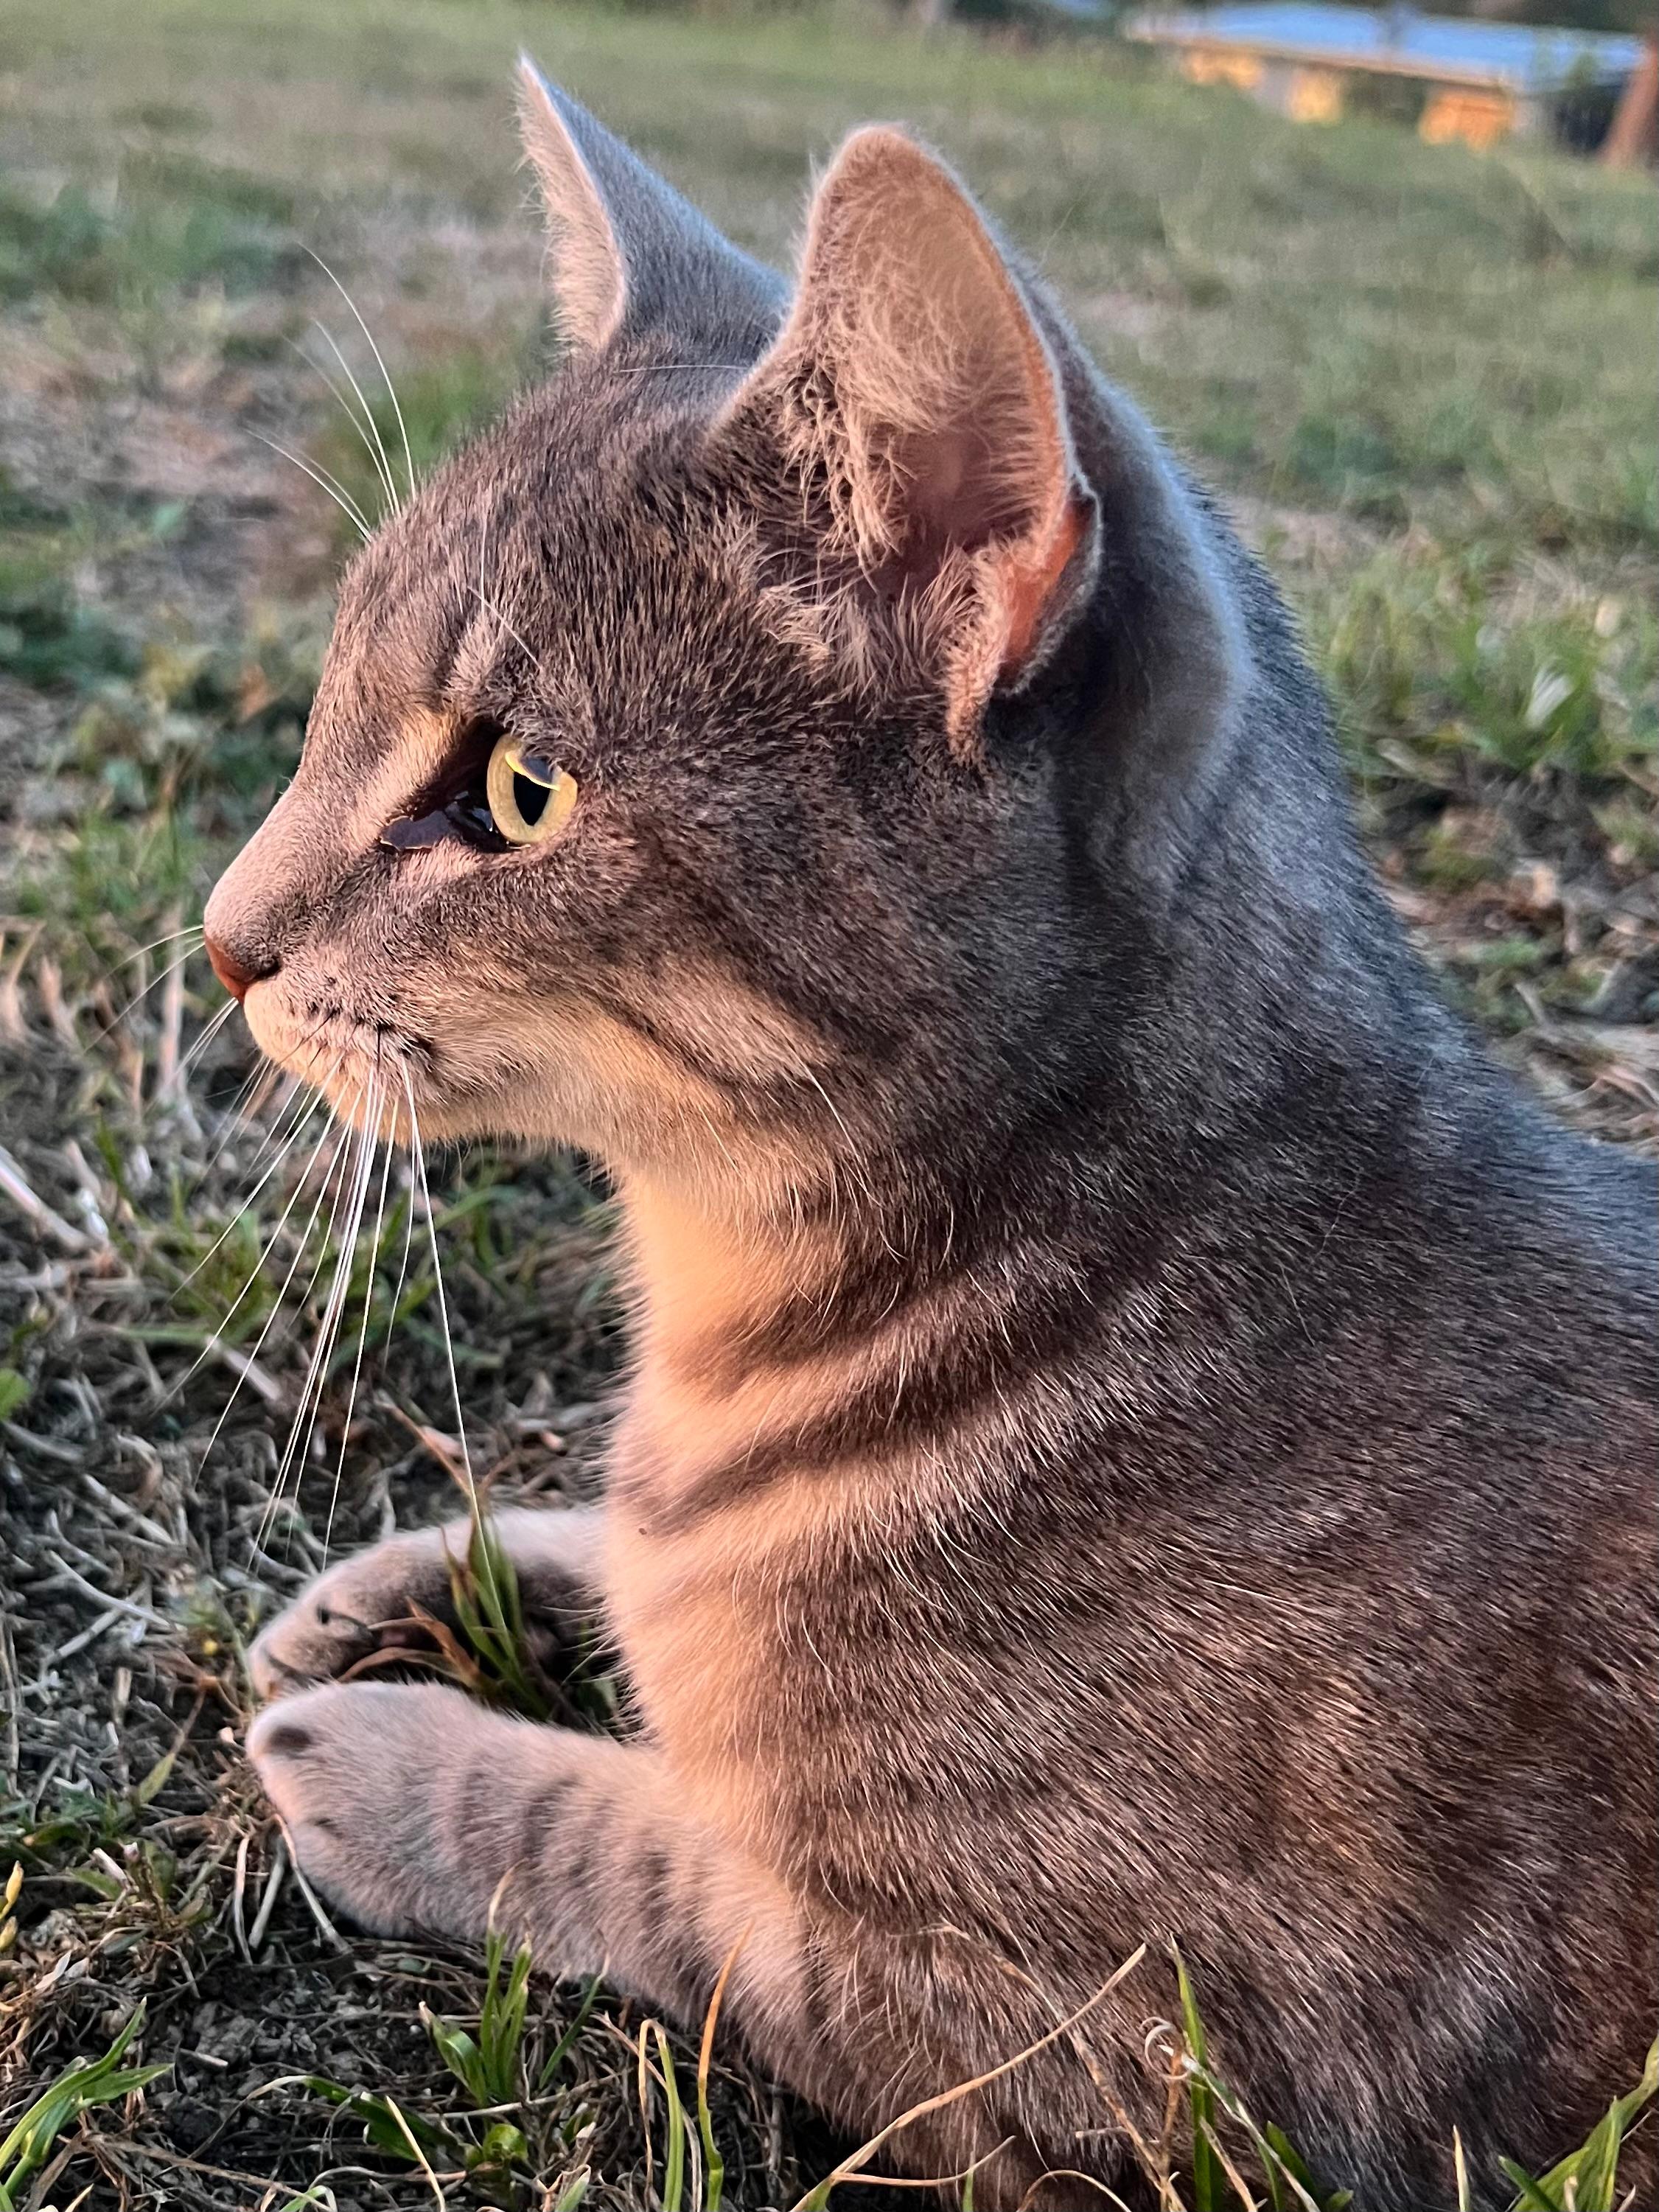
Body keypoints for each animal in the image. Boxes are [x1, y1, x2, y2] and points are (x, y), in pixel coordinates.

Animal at [211, 64, 1659, 2212]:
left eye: (517, 792)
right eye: (322, 699)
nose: (222, 939)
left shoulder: (1131, 2063)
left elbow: (660, 1858)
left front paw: (399, 1747)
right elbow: (609, 1562)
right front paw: (415, 1577)